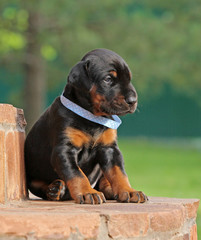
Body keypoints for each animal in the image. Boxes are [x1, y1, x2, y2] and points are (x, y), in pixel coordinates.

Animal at [24, 48, 148, 204]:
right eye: (108, 79)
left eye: (129, 79)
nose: (133, 100)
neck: (92, 117)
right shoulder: (64, 150)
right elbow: (77, 174)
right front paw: (87, 192)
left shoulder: (110, 149)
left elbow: (119, 173)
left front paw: (128, 190)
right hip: (34, 178)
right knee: (41, 186)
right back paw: (55, 189)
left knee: (104, 182)